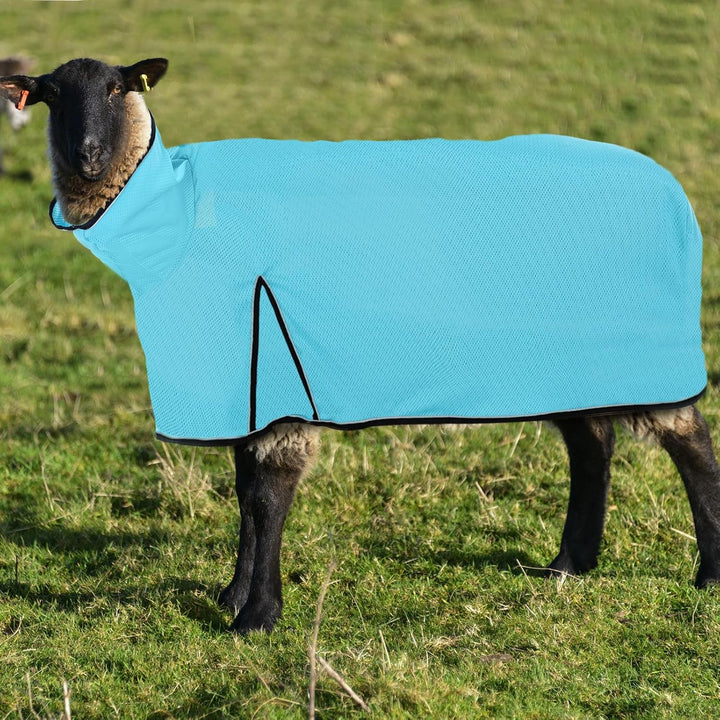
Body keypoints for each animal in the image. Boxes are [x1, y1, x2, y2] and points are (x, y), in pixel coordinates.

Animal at [2, 56, 720, 635]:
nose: (88, 156)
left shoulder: (278, 370)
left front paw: (258, 616)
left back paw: (707, 572)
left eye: (118, 87)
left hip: (638, 342)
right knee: (591, 442)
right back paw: (570, 563)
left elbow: (267, 496)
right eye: (50, 95)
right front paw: (233, 593)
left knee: (690, 444)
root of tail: (670, 187)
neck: (179, 213)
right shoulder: (242, 377)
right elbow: (243, 491)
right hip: (568, 353)